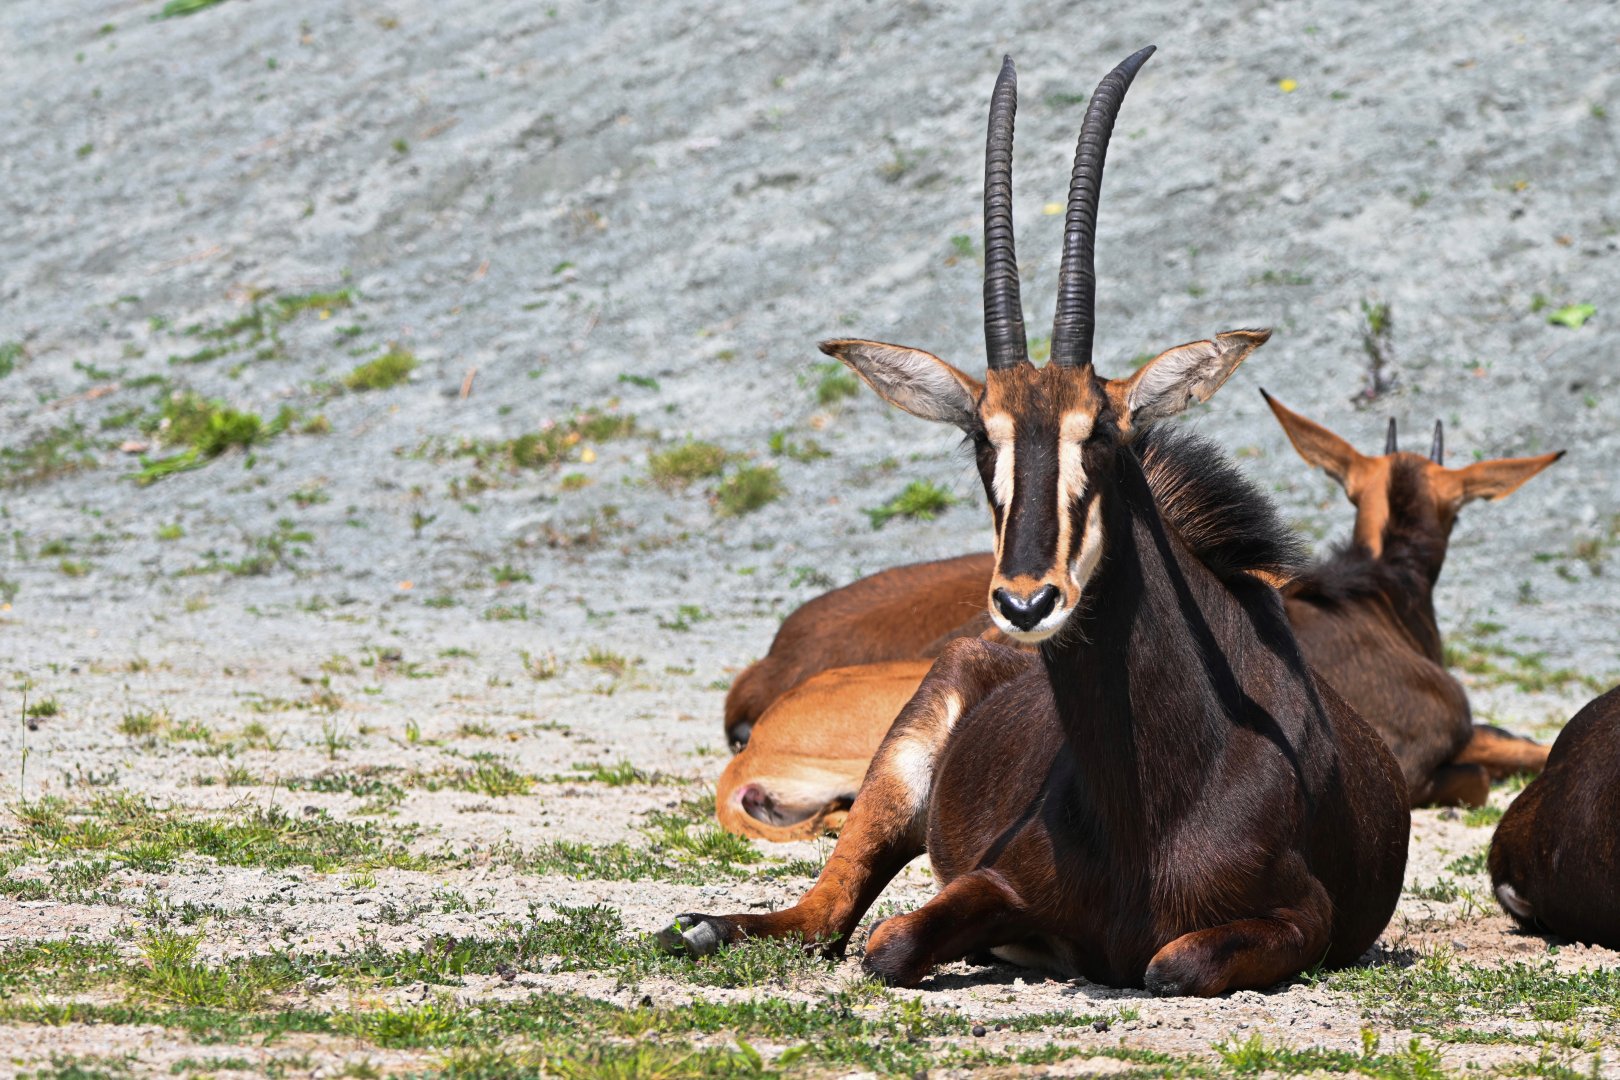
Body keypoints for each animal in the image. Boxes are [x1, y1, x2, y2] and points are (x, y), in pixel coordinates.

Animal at [666, 48, 1409, 995]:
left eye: (1102, 433)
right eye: (980, 437)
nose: (1026, 602)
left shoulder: (1301, 919)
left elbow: (1172, 962)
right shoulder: (992, 875)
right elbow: (891, 944)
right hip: (897, 770)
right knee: (829, 914)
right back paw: (700, 928)